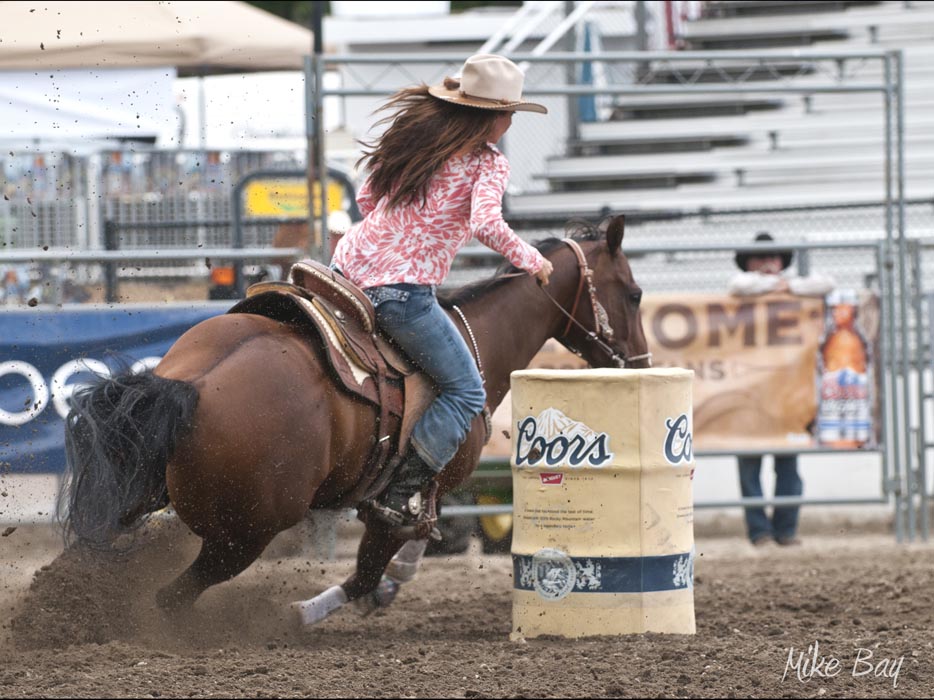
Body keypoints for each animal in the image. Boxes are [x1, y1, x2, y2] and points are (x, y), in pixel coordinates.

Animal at [60, 216, 652, 620]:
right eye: (635, 292)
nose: (642, 364)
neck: (476, 341)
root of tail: (194, 385)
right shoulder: (409, 497)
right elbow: (371, 571)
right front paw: (309, 613)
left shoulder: (402, 498)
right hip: (242, 537)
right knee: (173, 596)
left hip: (140, 494)